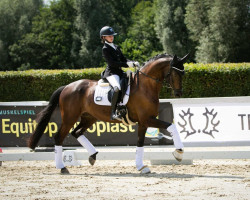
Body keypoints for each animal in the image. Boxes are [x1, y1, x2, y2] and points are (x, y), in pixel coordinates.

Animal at [27, 53, 188, 173]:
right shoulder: (147, 119)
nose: (179, 94)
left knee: (76, 132)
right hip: (69, 117)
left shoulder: (144, 122)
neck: (145, 86)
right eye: (175, 73)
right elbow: (172, 127)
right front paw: (178, 153)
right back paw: (62, 167)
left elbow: (140, 144)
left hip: (89, 118)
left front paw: (141, 167)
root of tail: (67, 87)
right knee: (59, 137)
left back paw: (92, 155)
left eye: (183, 73)